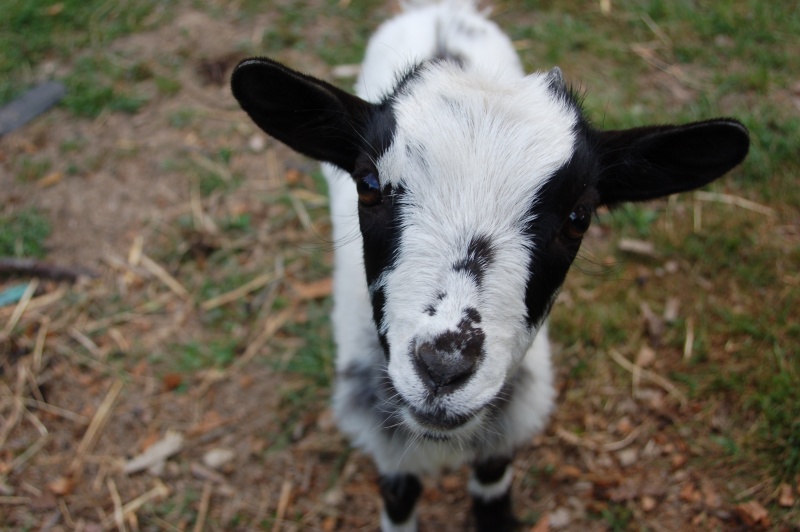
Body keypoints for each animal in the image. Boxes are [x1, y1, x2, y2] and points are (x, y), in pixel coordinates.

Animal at [231, 2, 752, 528]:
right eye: (369, 185)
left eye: (579, 217)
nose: (443, 369)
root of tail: (441, 12)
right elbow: (399, 497)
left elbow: (493, 477)